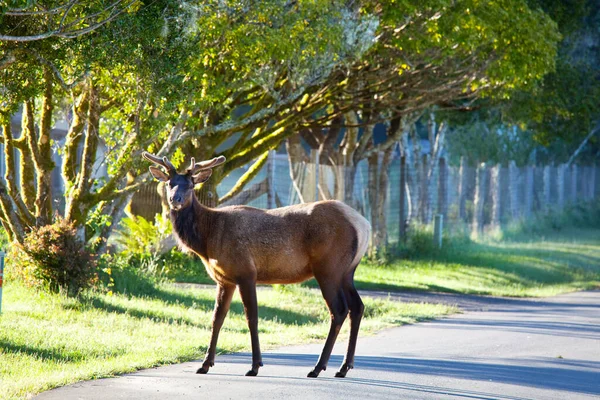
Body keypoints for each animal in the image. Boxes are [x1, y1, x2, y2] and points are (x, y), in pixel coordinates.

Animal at [144, 151, 370, 378]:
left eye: (190, 185)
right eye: (169, 183)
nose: (175, 199)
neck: (207, 240)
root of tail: (363, 224)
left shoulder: (245, 272)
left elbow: (251, 317)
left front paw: (255, 366)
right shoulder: (224, 280)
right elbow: (217, 318)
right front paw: (205, 364)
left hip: (328, 267)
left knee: (339, 310)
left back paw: (318, 367)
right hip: (347, 271)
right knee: (357, 306)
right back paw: (343, 367)